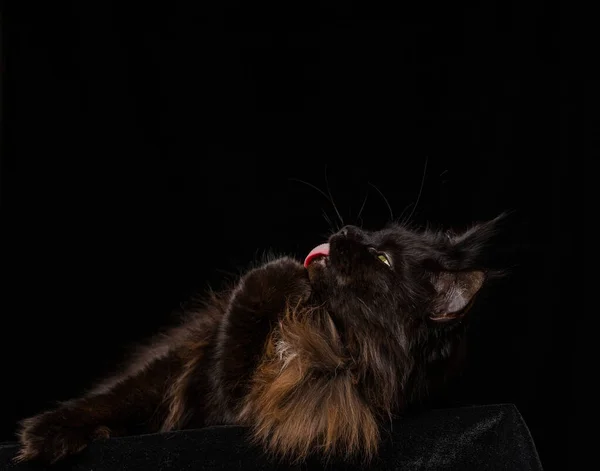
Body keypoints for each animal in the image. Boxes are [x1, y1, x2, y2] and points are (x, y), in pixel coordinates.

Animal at [14, 217, 504, 464]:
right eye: (372, 232)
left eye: (382, 259)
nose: (346, 231)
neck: (326, 328)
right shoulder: (194, 359)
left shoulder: (232, 408)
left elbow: (237, 344)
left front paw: (287, 271)